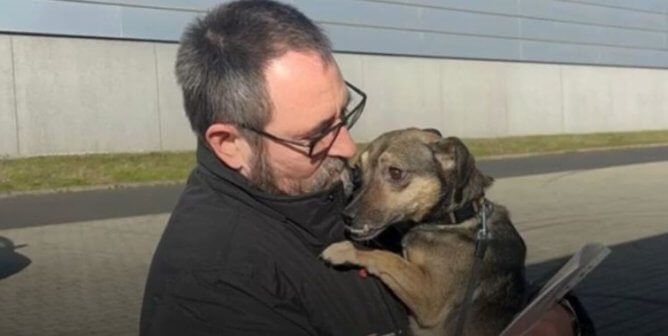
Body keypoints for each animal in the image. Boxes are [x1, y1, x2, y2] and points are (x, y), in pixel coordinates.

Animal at [324, 128, 528, 336]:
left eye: (395, 173)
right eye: (358, 172)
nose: (346, 217)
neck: (453, 219)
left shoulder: (430, 299)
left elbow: (388, 258)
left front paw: (344, 249)